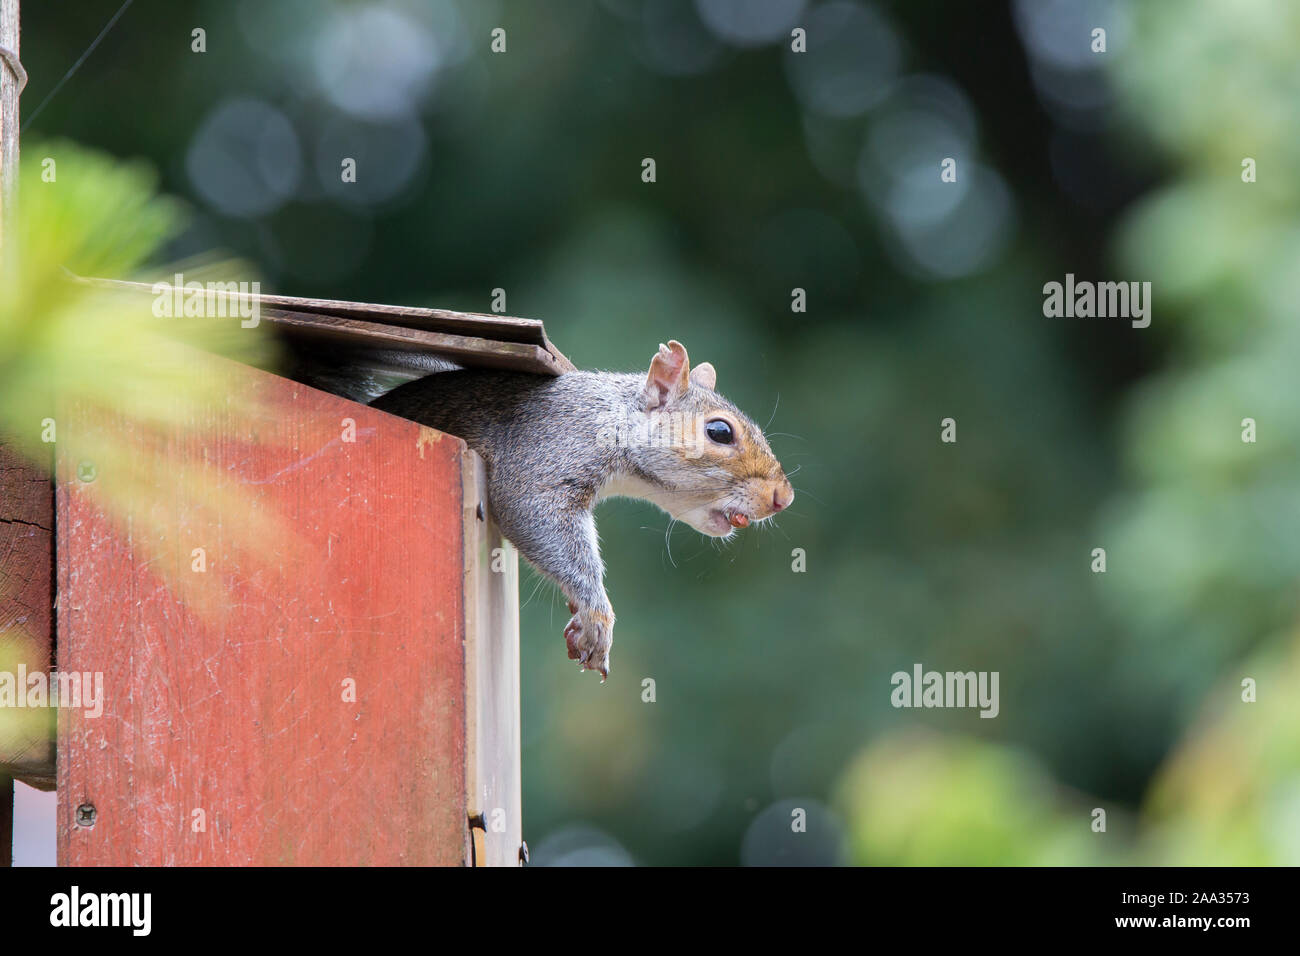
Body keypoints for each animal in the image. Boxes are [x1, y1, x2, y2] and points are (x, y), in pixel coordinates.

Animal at [368, 340, 794, 679]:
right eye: (719, 432)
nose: (783, 498)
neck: (610, 418)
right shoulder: (545, 452)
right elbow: (534, 512)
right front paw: (595, 615)